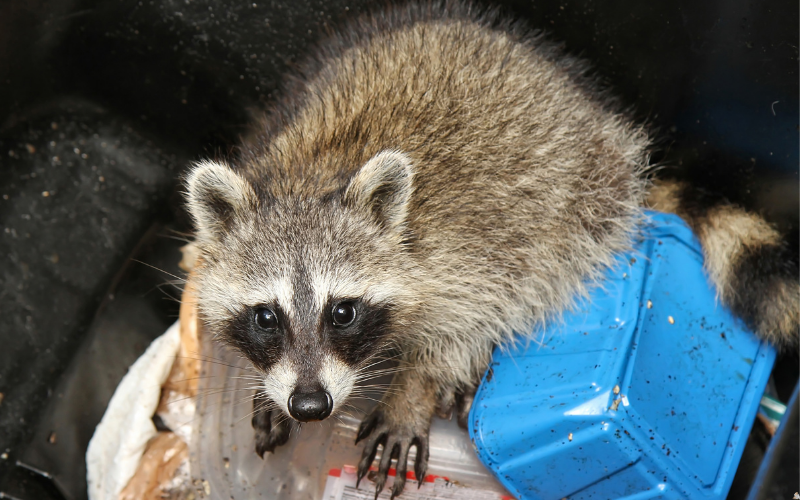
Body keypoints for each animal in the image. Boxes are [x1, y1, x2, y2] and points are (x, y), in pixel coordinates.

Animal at [183, 1, 800, 498]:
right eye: (266, 316)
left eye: (343, 312)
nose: (311, 406)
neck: (308, 180)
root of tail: (587, 106)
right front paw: (268, 387)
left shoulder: (471, 250)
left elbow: (466, 324)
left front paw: (415, 389)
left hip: (581, 201)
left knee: (545, 272)